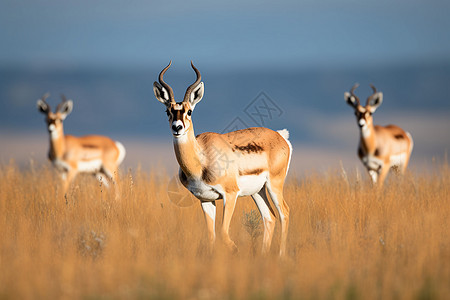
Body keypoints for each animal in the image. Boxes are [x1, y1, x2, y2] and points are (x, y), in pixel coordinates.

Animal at [153, 61, 294, 255]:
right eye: (168, 111)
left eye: (189, 111)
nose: (177, 127)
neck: (201, 161)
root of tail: (281, 136)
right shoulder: (205, 199)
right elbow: (211, 236)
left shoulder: (230, 195)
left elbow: (223, 233)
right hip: (258, 191)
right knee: (269, 217)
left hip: (274, 185)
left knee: (284, 213)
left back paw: (280, 256)